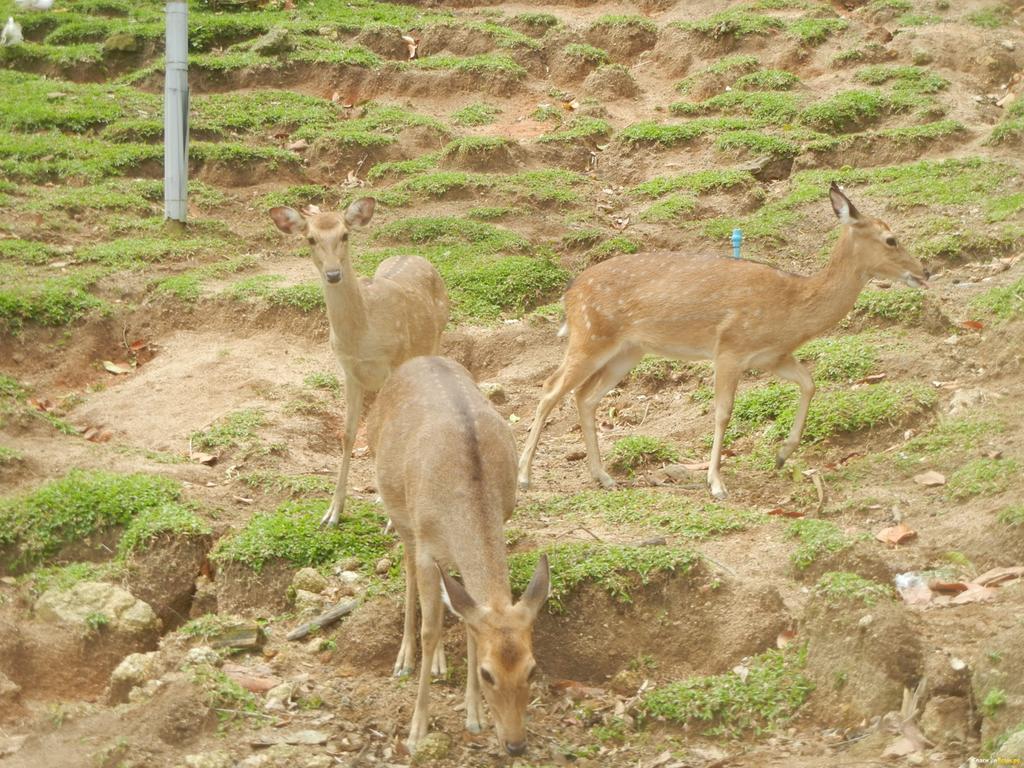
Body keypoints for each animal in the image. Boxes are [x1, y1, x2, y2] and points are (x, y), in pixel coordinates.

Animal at [270, 196, 450, 528]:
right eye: (310, 238)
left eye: (345, 235)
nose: (333, 274)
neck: (363, 334)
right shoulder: (349, 371)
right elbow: (348, 434)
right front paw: (332, 512)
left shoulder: (393, 362)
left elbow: (384, 431)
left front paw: (391, 519)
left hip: (435, 339)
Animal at [370, 358, 552, 753]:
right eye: (488, 673)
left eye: (532, 668)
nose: (516, 744)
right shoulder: (426, 545)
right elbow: (430, 628)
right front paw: (417, 731)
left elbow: (468, 621)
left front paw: (473, 715)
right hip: (400, 514)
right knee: (409, 571)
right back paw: (404, 659)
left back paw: (439, 663)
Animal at [520, 183, 929, 501]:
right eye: (891, 239)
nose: (925, 271)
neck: (794, 307)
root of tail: (570, 293)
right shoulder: (730, 348)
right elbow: (723, 412)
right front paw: (716, 483)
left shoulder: (773, 356)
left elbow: (810, 384)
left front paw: (782, 454)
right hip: (590, 335)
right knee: (550, 388)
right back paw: (524, 477)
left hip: (627, 350)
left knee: (584, 396)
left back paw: (603, 477)